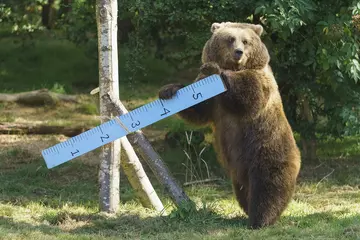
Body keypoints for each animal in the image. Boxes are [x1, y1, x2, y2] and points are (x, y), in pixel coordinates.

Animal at [158, 22, 300, 229]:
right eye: (230, 38)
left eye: (246, 41)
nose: (239, 52)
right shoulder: (211, 101)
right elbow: (197, 110)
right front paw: (169, 90)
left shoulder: (260, 81)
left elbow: (249, 96)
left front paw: (215, 70)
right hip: (238, 169)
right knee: (242, 189)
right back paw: (248, 210)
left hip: (266, 150)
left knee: (268, 186)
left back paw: (260, 219)